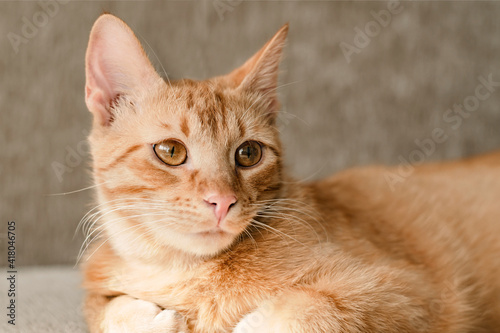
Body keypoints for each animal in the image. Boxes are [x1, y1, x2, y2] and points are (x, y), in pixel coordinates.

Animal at [81, 13, 500, 332]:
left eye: (248, 153)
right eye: (171, 151)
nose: (222, 201)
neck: (183, 273)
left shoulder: (411, 291)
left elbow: (305, 310)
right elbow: (105, 311)